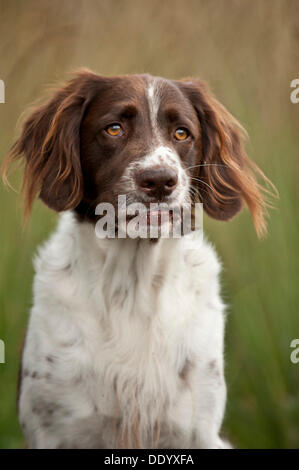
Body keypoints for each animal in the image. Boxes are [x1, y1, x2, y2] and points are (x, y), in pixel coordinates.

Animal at [1, 70, 270, 448]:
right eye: (113, 128)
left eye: (182, 133)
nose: (159, 181)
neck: (132, 283)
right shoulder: (54, 431)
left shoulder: (196, 431)